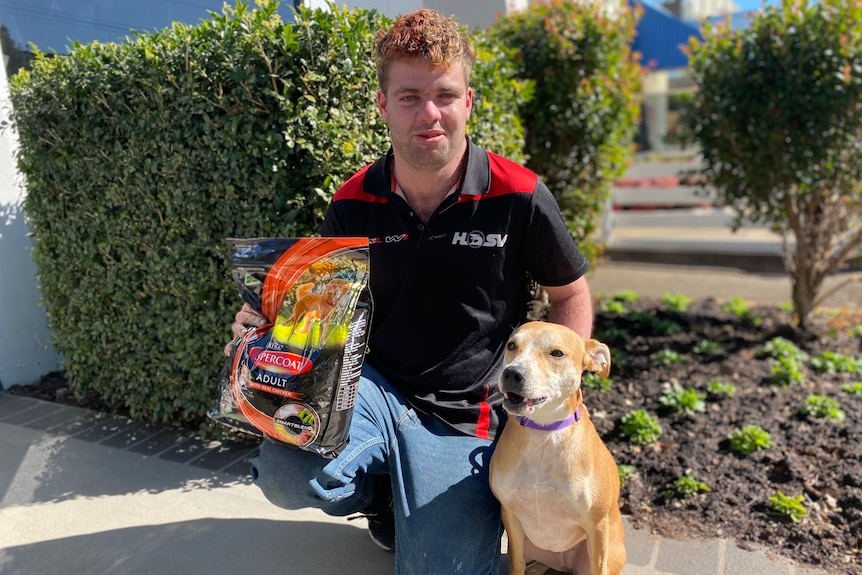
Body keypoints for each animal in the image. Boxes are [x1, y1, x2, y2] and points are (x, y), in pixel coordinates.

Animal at [492, 322, 628, 575]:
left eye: (556, 353)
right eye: (512, 345)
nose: (512, 373)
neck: (544, 433)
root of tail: (565, 565)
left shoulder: (597, 526)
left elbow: (599, 567)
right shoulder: (511, 516)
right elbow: (516, 564)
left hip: (608, 551)